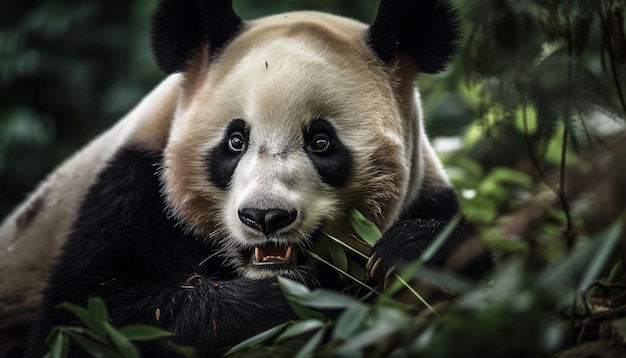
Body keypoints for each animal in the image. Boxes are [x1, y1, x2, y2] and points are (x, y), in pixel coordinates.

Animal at [0, 0, 488, 356]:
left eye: (321, 142)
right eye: (235, 141)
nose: (265, 217)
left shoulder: (426, 191)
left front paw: (410, 251)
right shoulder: (130, 191)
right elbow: (93, 318)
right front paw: (294, 301)